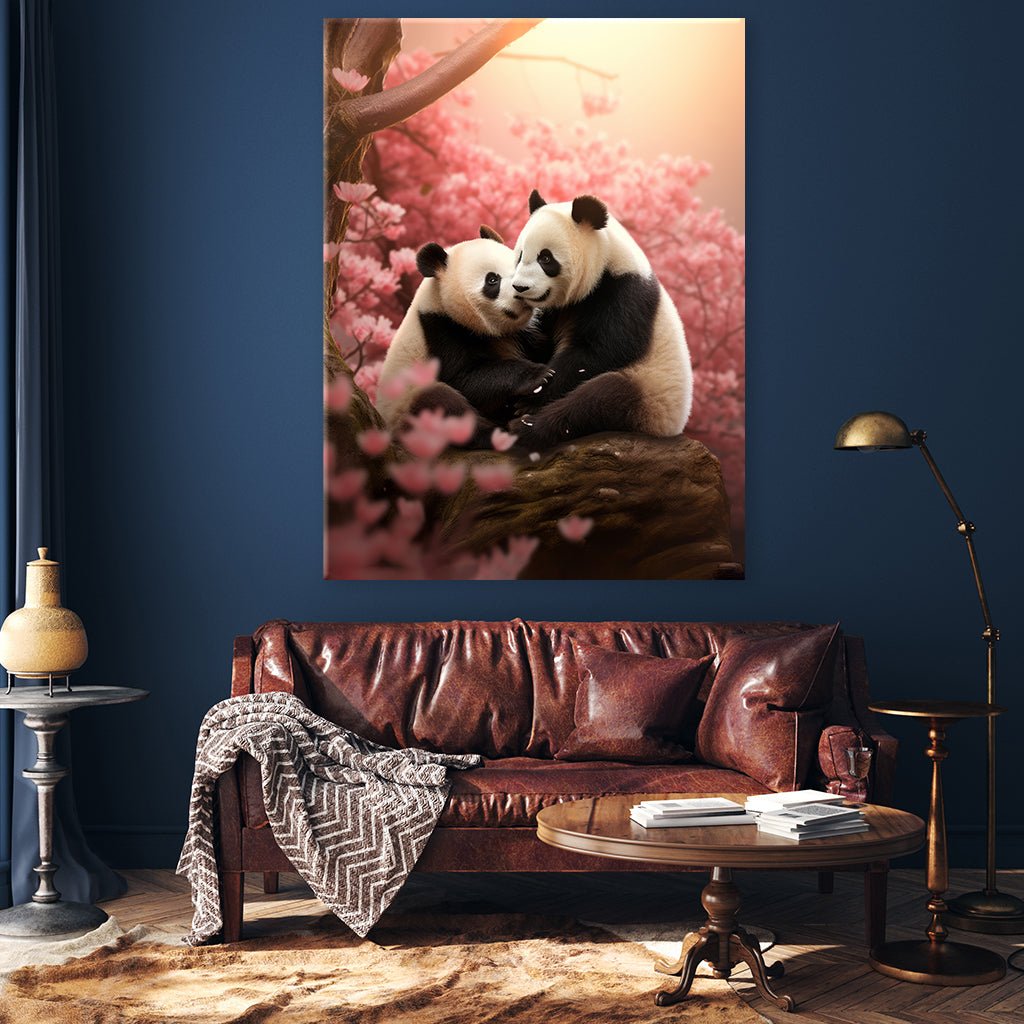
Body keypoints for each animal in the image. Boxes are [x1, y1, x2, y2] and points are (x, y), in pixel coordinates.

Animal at [375, 226, 553, 444]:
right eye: (492, 280)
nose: (522, 291)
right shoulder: (441, 330)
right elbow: (464, 378)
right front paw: (538, 375)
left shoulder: (522, 332)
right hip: (406, 405)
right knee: (443, 405)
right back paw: (498, 434)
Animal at [507, 190, 693, 449]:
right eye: (520, 255)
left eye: (546, 259)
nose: (520, 287)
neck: (607, 259)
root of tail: (670, 429)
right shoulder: (558, 310)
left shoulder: (624, 294)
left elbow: (599, 351)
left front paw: (532, 395)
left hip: (652, 394)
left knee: (598, 400)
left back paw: (526, 428)